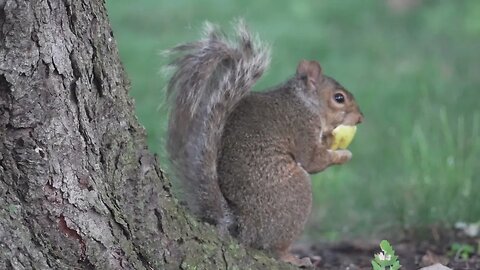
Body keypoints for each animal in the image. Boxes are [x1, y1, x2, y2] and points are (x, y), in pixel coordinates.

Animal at [166, 22, 364, 266]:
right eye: (339, 98)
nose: (361, 118)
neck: (305, 102)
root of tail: (242, 226)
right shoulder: (302, 126)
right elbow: (313, 161)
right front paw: (343, 155)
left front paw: (330, 139)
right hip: (295, 194)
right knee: (275, 247)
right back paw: (294, 258)